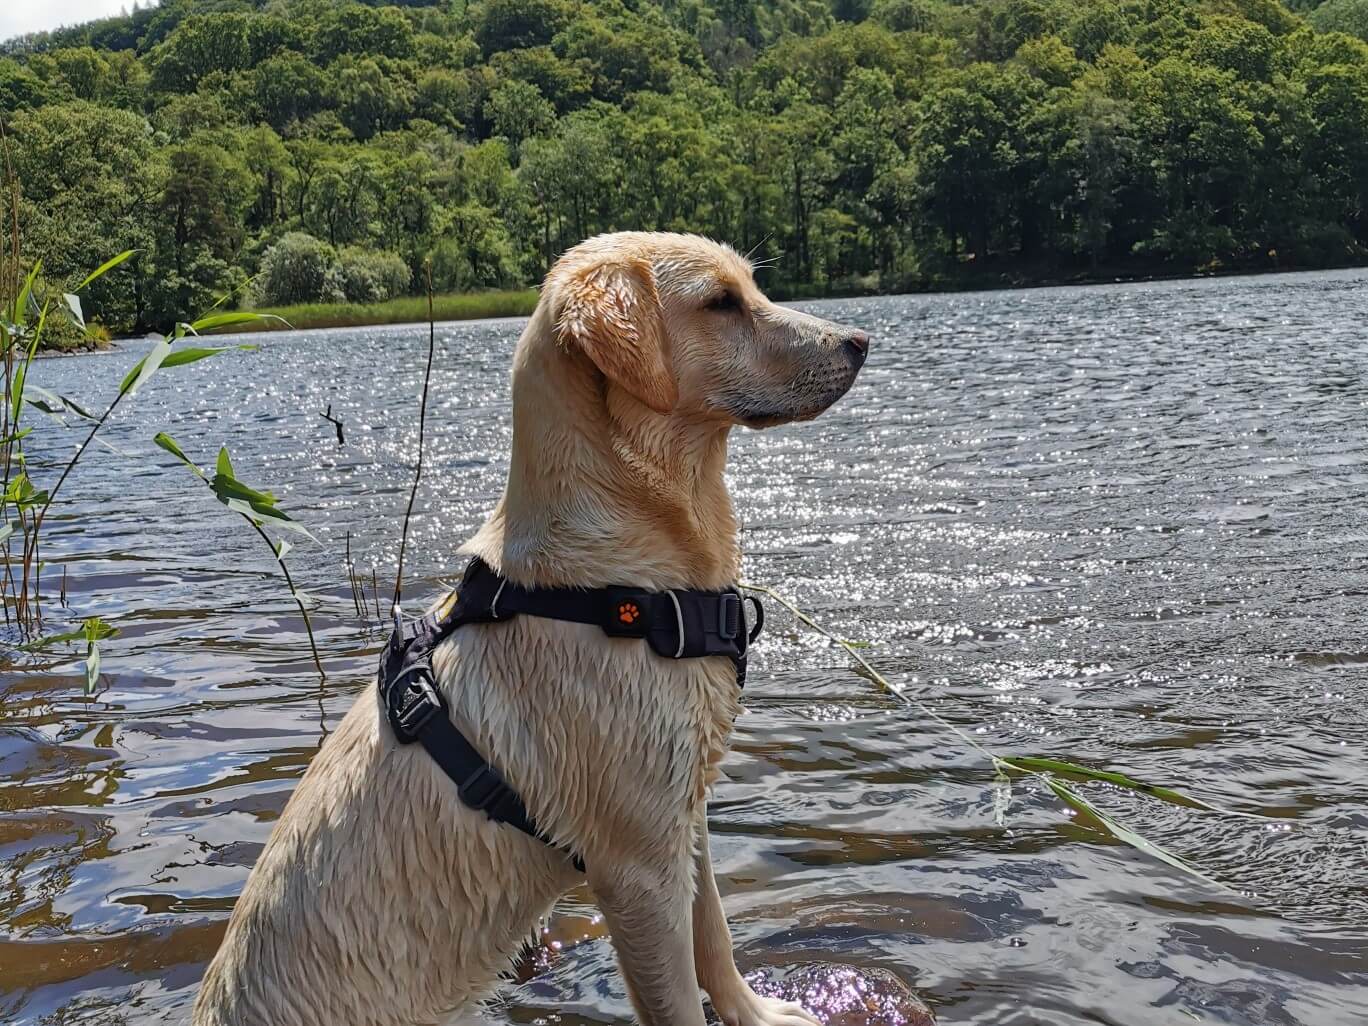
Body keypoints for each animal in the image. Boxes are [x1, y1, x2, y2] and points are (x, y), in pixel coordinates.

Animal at [192, 232, 864, 1026]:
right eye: (721, 303)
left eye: (750, 289)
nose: (859, 342)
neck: (616, 585)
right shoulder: (637, 867)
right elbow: (678, 993)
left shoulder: (682, 811)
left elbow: (717, 934)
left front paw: (757, 1012)